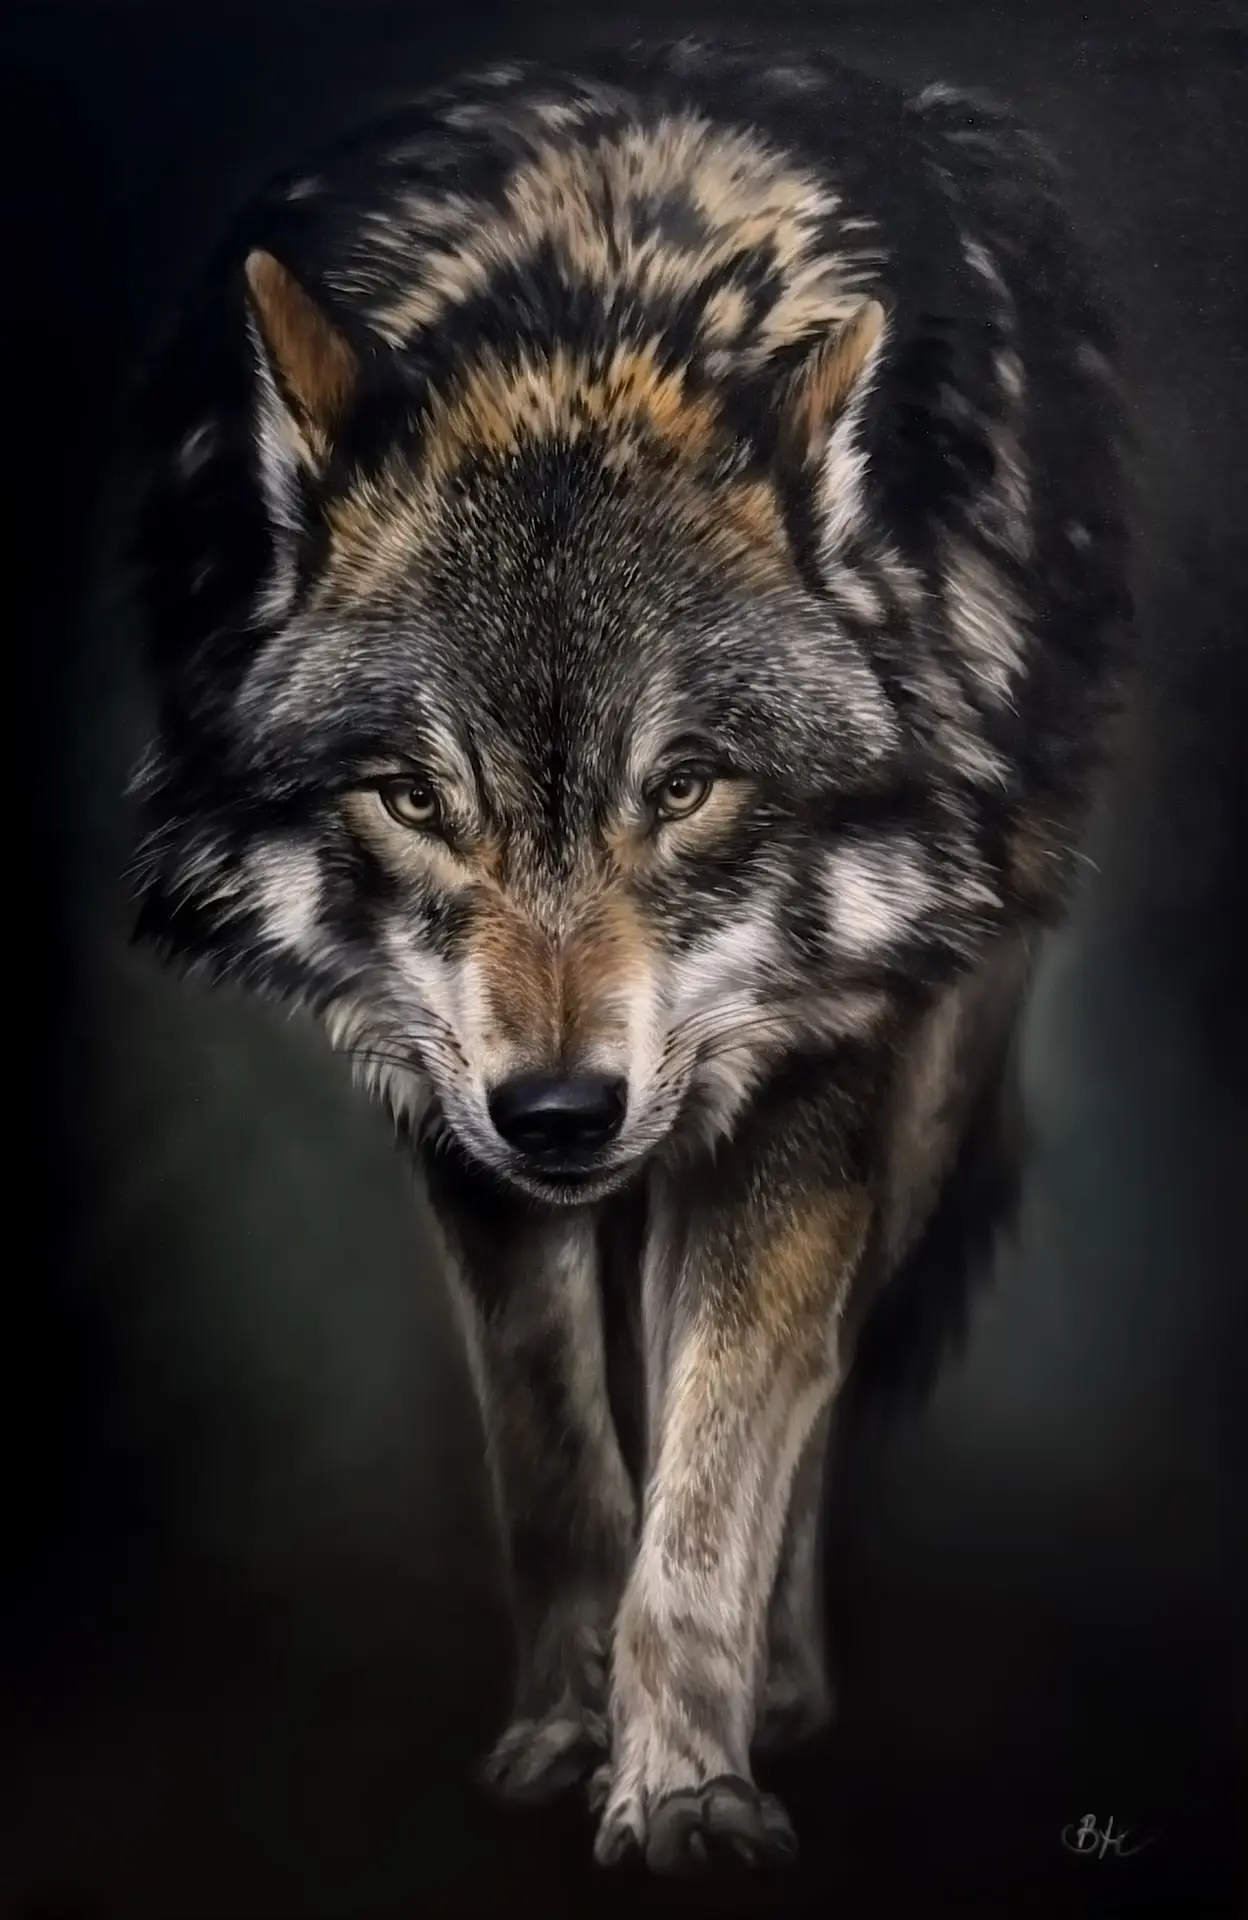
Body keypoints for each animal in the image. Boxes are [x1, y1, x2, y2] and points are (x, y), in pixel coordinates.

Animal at [126, 38, 1128, 1874]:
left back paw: (780, 1679)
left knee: (807, 1378)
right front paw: (565, 1726)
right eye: (413, 798)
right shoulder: (447, 1111)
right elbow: (555, 1455)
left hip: (921, 1092)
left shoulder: (814, 1072)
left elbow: (718, 1467)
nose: (562, 1116)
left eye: (683, 787)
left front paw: (681, 1784)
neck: (595, 282)